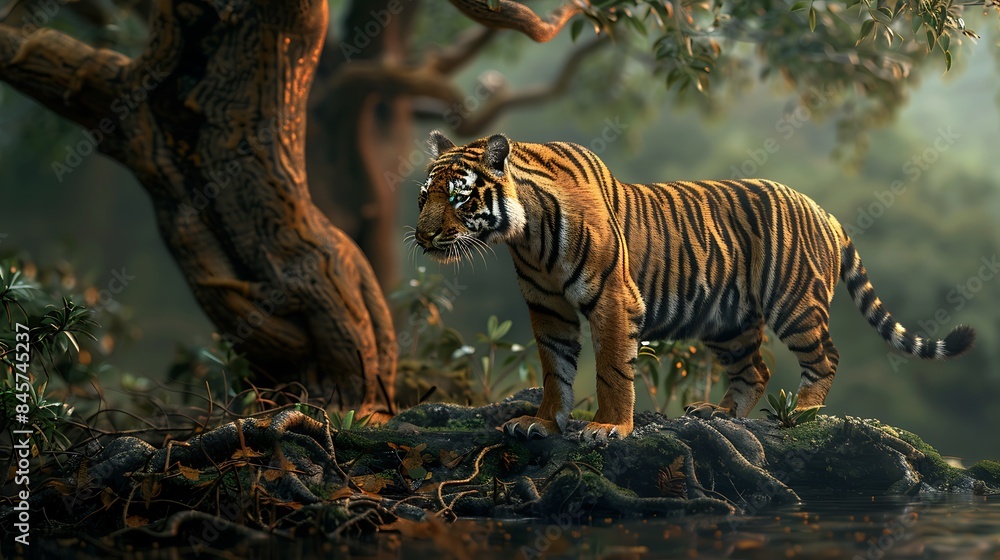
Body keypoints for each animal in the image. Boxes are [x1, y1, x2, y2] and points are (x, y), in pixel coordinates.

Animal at [412, 130, 976, 441]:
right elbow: (556, 371)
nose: (423, 236)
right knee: (756, 367)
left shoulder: (613, 300)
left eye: (460, 197)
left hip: (793, 303)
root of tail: (825, 211)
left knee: (825, 357)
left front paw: (608, 428)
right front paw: (544, 423)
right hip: (727, 320)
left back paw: (804, 415)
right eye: (423, 197)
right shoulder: (547, 308)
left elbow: (612, 371)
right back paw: (720, 414)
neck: (525, 234)